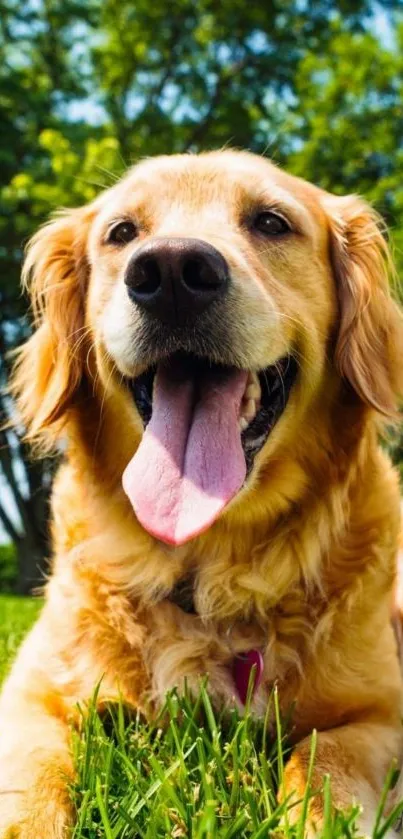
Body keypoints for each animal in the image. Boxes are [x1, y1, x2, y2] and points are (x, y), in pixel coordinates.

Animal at [0, 148, 403, 836]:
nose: (170, 274)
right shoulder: (29, 699)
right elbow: (31, 783)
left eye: (271, 222)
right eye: (121, 233)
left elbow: (326, 761)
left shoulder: (379, 713)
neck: (208, 563)